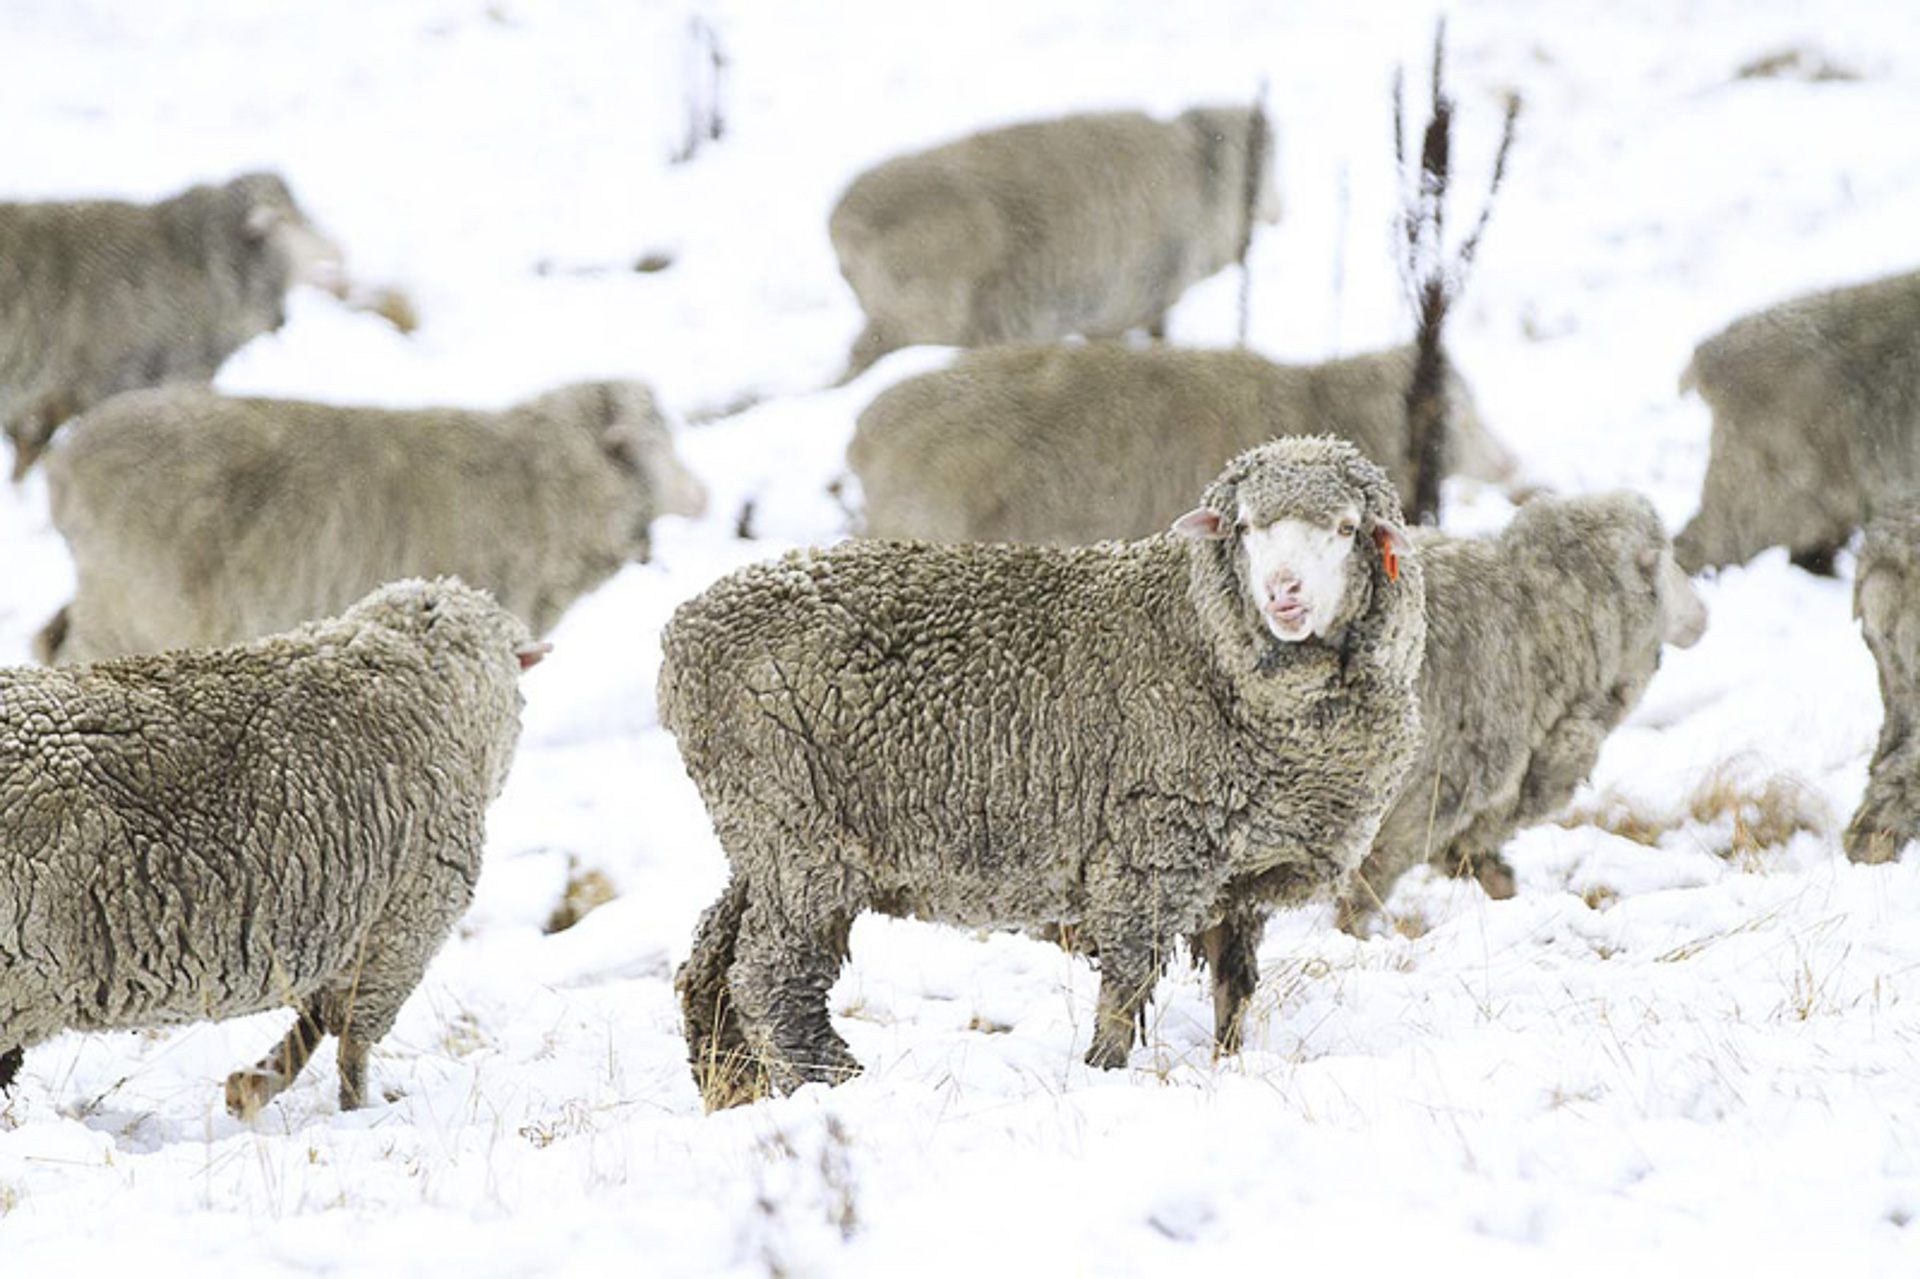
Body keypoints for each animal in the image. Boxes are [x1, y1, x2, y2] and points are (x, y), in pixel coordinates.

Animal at [662, 436, 1426, 1108]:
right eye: (1244, 527)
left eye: (1346, 527)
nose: (1283, 592)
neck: (1198, 638)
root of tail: (684, 633)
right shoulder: (1152, 852)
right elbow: (1127, 982)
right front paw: (1104, 1072)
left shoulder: (1238, 879)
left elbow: (1233, 988)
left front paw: (1231, 1065)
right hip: (797, 833)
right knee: (768, 974)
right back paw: (831, 1080)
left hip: (762, 833)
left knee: (712, 957)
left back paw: (732, 1087)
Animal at [1335, 492, 1708, 930]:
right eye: (1667, 558)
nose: (1703, 611)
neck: (1537, 619)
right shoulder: (1426, 800)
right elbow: (1363, 888)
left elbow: (1486, 869)